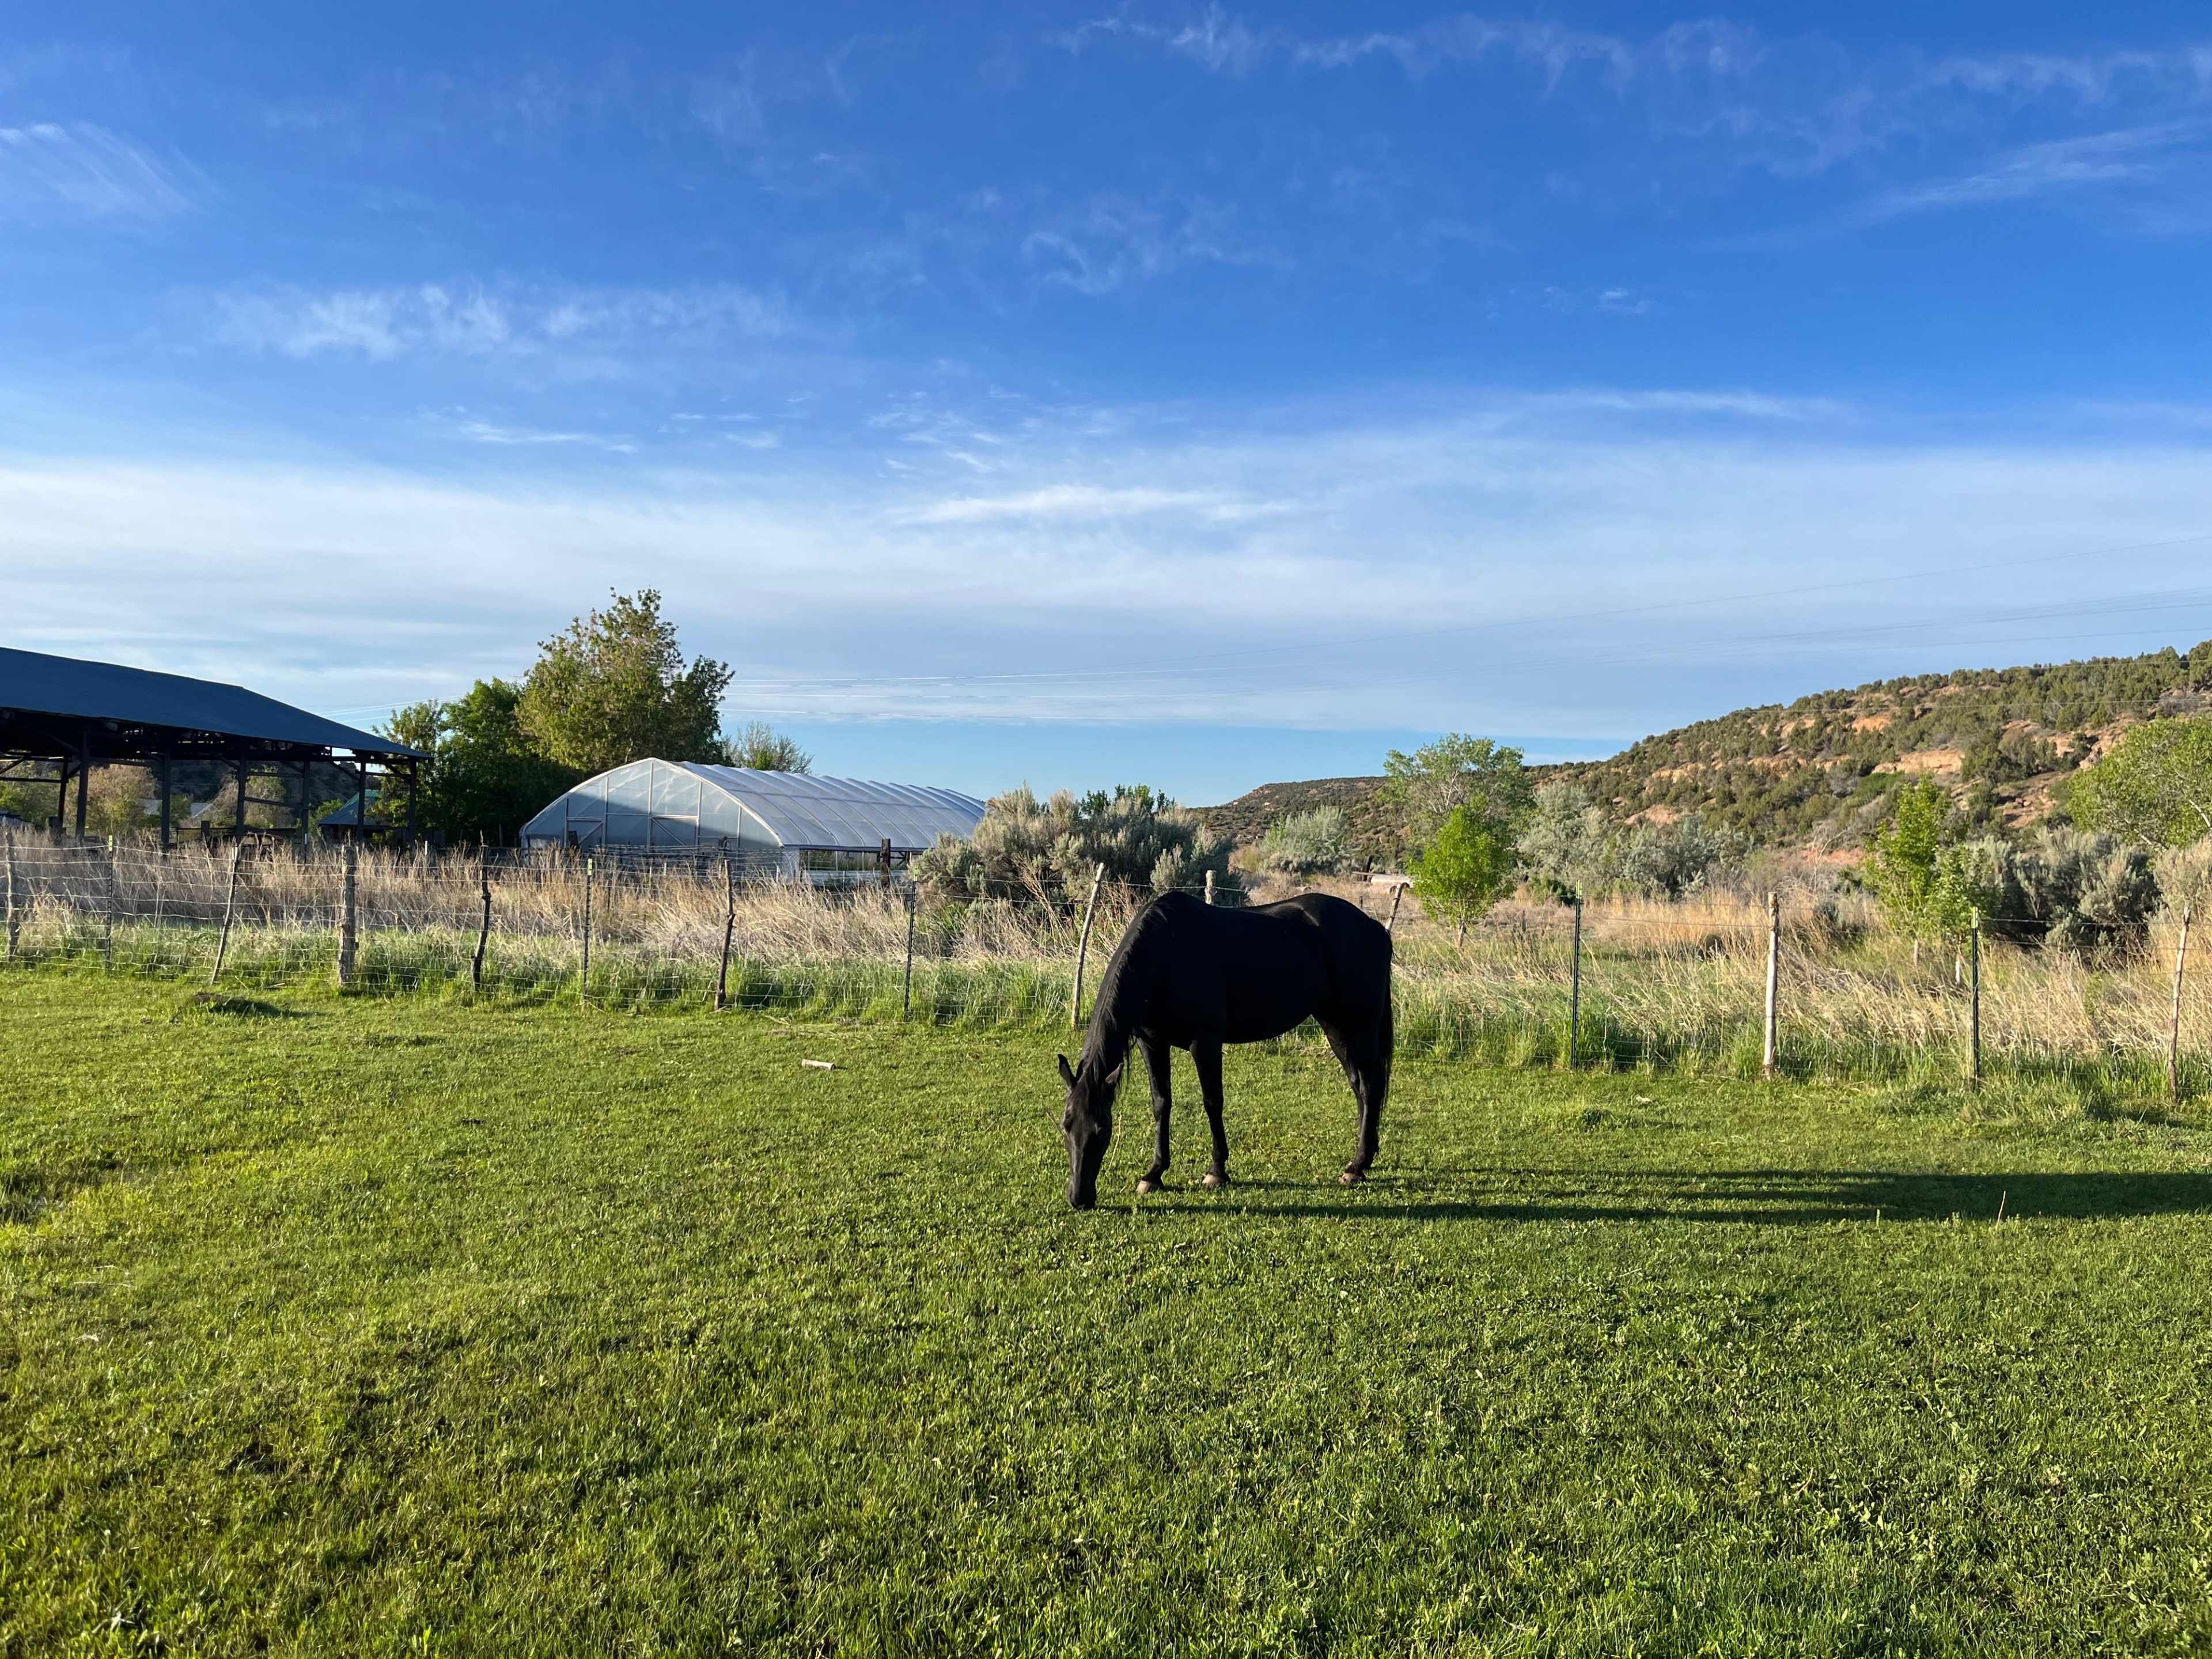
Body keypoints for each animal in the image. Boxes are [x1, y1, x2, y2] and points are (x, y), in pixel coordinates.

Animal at [1057, 889, 1394, 1209]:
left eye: (1102, 1131)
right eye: (1065, 1126)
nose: (1079, 1198)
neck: (1165, 954)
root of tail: (1375, 928)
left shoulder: (1205, 1042)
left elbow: (1212, 1102)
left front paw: (1217, 1172)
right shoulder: (1151, 1043)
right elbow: (1161, 1103)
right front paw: (1154, 1174)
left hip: (1358, 1026)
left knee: (1371, 1085)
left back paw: (1357, 1166)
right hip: (1334, 1025)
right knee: (1359, 1085)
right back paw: (1365, 1157)